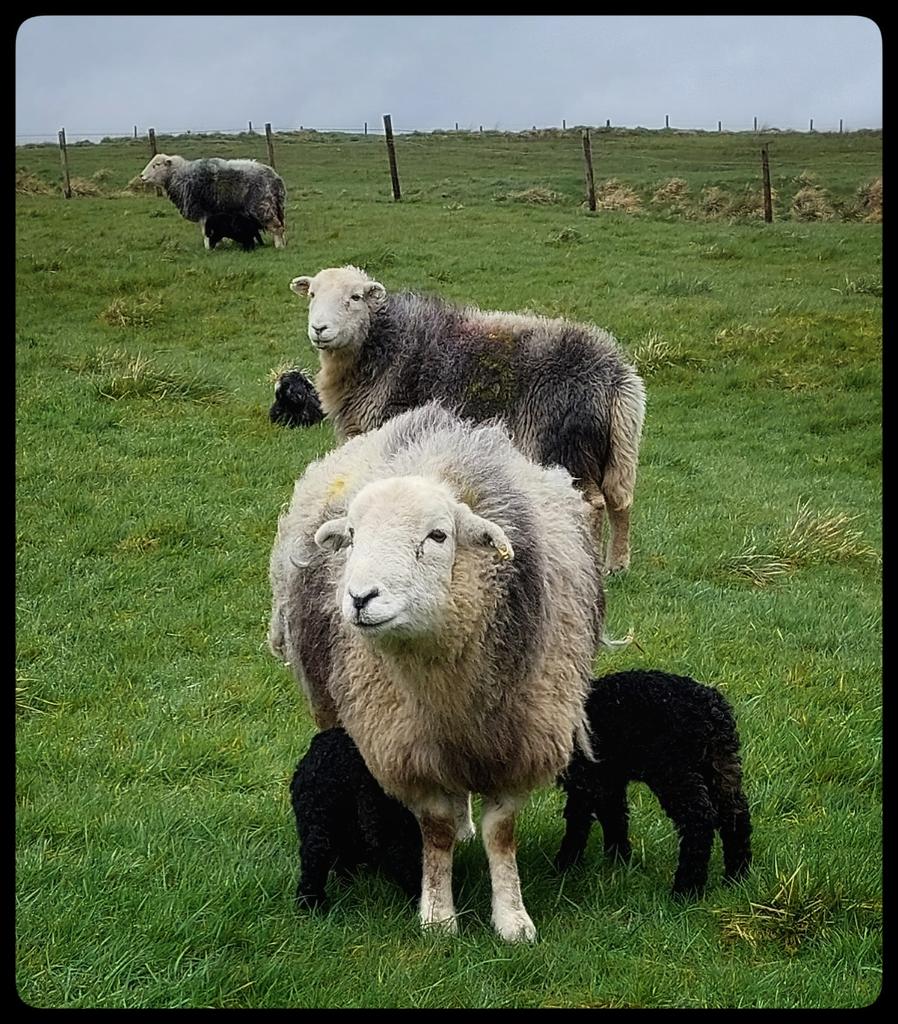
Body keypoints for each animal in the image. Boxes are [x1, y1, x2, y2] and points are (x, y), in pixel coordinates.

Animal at [142, 153, 284, 249]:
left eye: (157, 165)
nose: (141, 176)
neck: (180, 175)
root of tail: (274, 177)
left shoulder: (203, 212)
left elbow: (205, 232)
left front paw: (208, 248)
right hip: (277, 207)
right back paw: (283, 244)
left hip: (263, 207)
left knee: (277, 228)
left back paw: (279, 246)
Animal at [286, 264, 643, 573]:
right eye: (312, 294)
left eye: (356, 297)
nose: (319, 329)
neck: (381, 344)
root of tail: (614, 374)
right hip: (619, 449)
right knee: (620, 501)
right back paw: (617, 565)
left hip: (567, 446)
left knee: (593, 505)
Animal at [552, 663, 749, 897]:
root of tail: (711, 711)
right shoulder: (609, 778)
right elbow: (615, 817)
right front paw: (620, 862)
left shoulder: (585, 777)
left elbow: (578, 822)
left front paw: (563, 867)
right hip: (721, 762)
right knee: (736, 813)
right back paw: (737, 876)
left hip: (672, 768)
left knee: (698, 818)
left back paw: (686, 890)